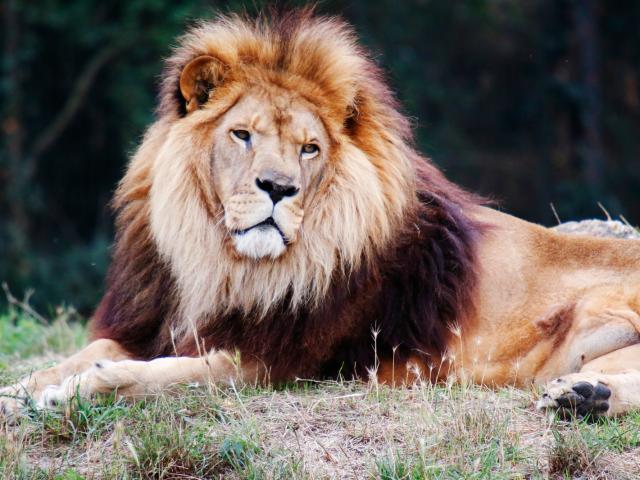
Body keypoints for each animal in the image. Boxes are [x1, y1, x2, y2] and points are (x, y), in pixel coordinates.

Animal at [2, 10, 640, 421]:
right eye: (242, 135)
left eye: (309, 148)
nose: (278, 187)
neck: (217, 262)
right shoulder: (155, 326)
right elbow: (76, 357)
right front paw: (25, 390)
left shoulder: (272, 365)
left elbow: (157, 375)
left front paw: (79, 391)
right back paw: (584, 395)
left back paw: (586, 396)